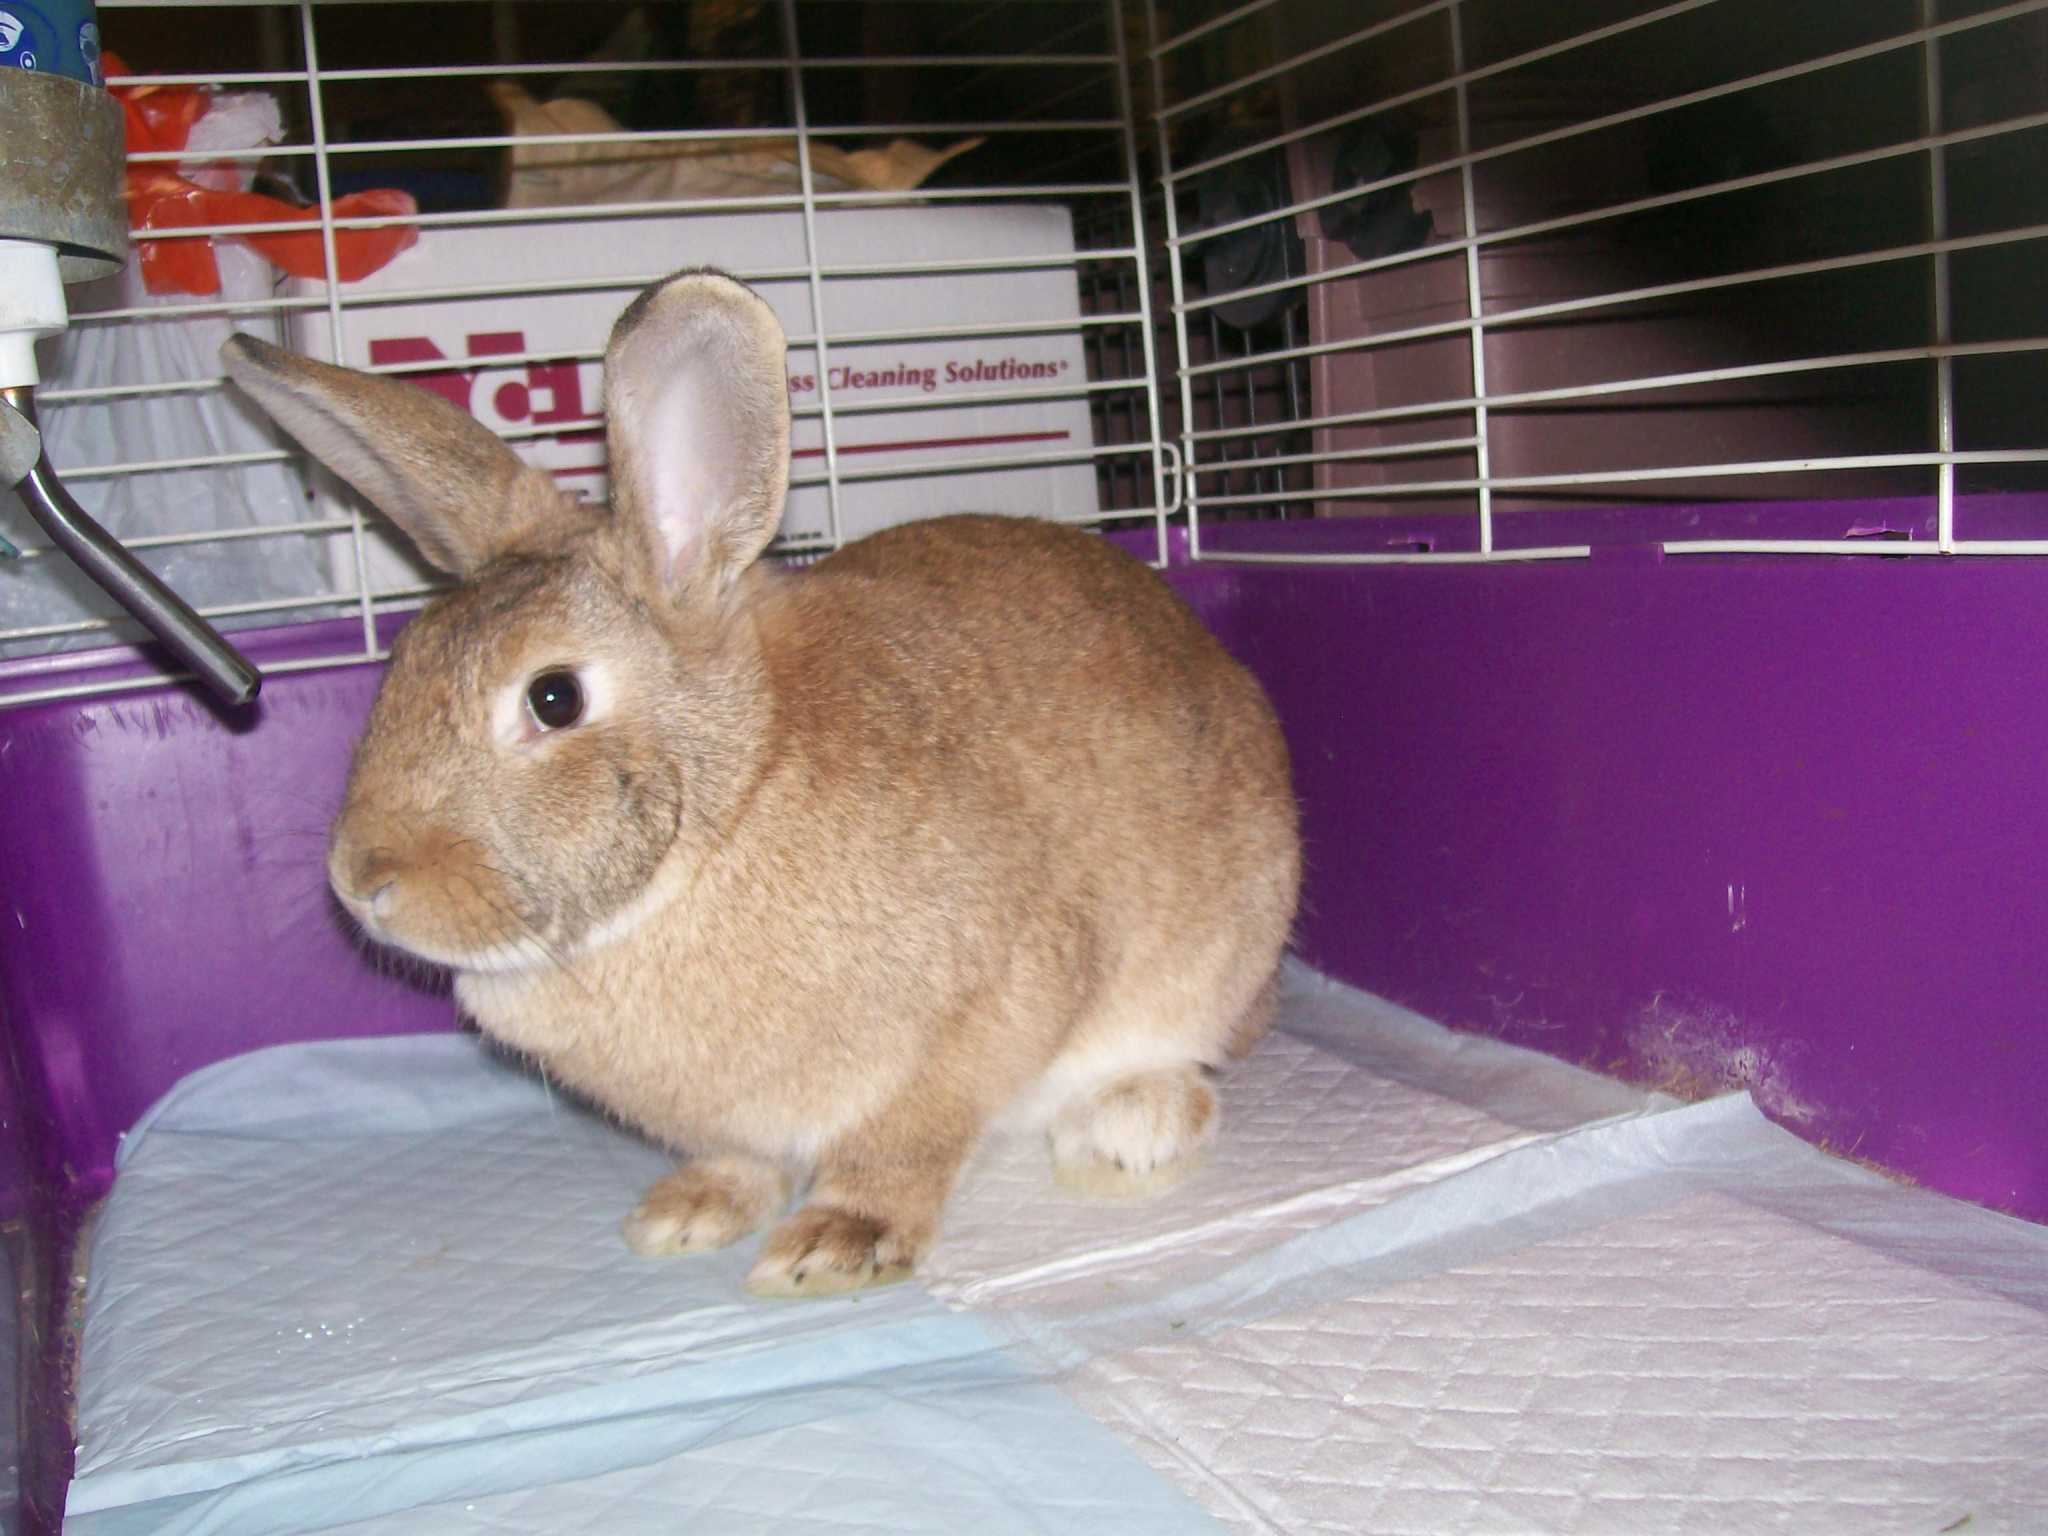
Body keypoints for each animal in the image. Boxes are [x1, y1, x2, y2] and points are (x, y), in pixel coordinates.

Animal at [220, 268, 1301, 1298]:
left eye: (554, 698)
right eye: (401, 659)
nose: (363, 881)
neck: (726, 813)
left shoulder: (994, 1003)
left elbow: (907, 1143)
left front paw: (837, 1243)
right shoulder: (740, 1115)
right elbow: (741, 1159)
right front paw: (687, 1210)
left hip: (1209, 960)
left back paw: (1127, 1129)